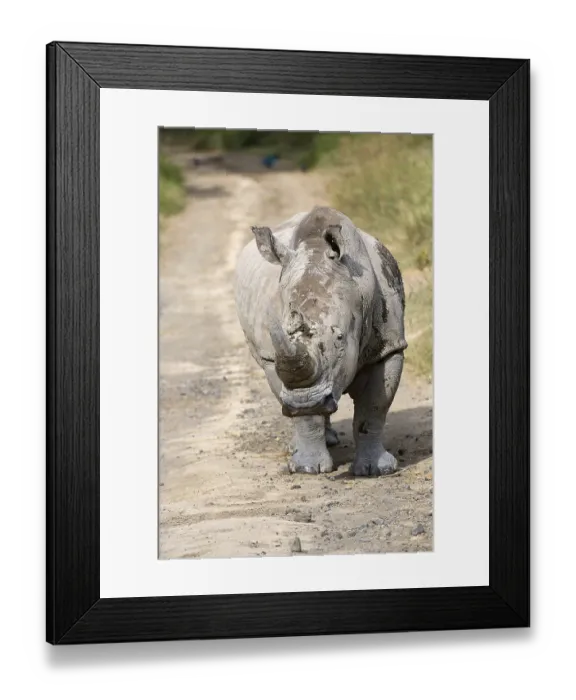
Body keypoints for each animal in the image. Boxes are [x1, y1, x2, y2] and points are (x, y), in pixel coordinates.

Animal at [233, 206, 407, 476]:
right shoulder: (274, 359)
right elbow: (304, 415)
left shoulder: (389, 347)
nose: (307, 401)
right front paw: (308, 468)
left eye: (340, 337)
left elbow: (374, 408)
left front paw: (376, 470)